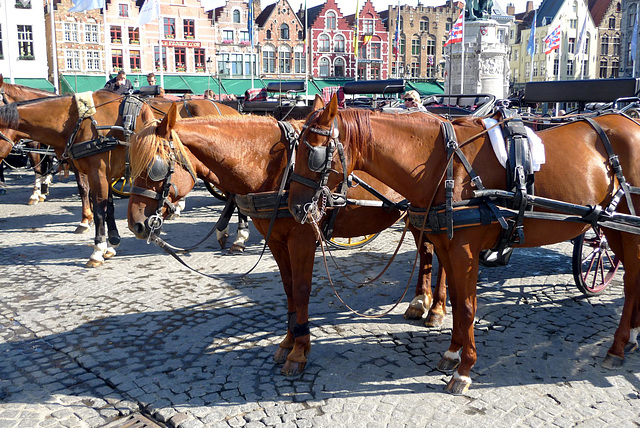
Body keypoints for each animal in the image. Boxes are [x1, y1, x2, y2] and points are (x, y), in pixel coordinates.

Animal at [125, 102, 444, 376]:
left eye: (155, 167)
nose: (136, 224)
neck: (277, 168)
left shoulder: (301, 239)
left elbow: (301, 290)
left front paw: (300, 351)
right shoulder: (277, 241)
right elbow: (289, 289)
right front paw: (289, 340)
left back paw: (436, 309)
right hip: (417, 215)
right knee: (427, 251)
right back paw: (420, 301)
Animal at [288, 95, 640, 392]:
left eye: (313, 153)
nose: (295, 207)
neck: (444, 167)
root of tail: (631, 122)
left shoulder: (464, 251)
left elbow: (469, 306)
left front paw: (464, 369)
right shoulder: (447, 247)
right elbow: (457, 301)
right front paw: (453, 352)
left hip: (629, 229)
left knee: (631, 285)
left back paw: (619, 345)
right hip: (613, 227)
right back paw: (632, 338)